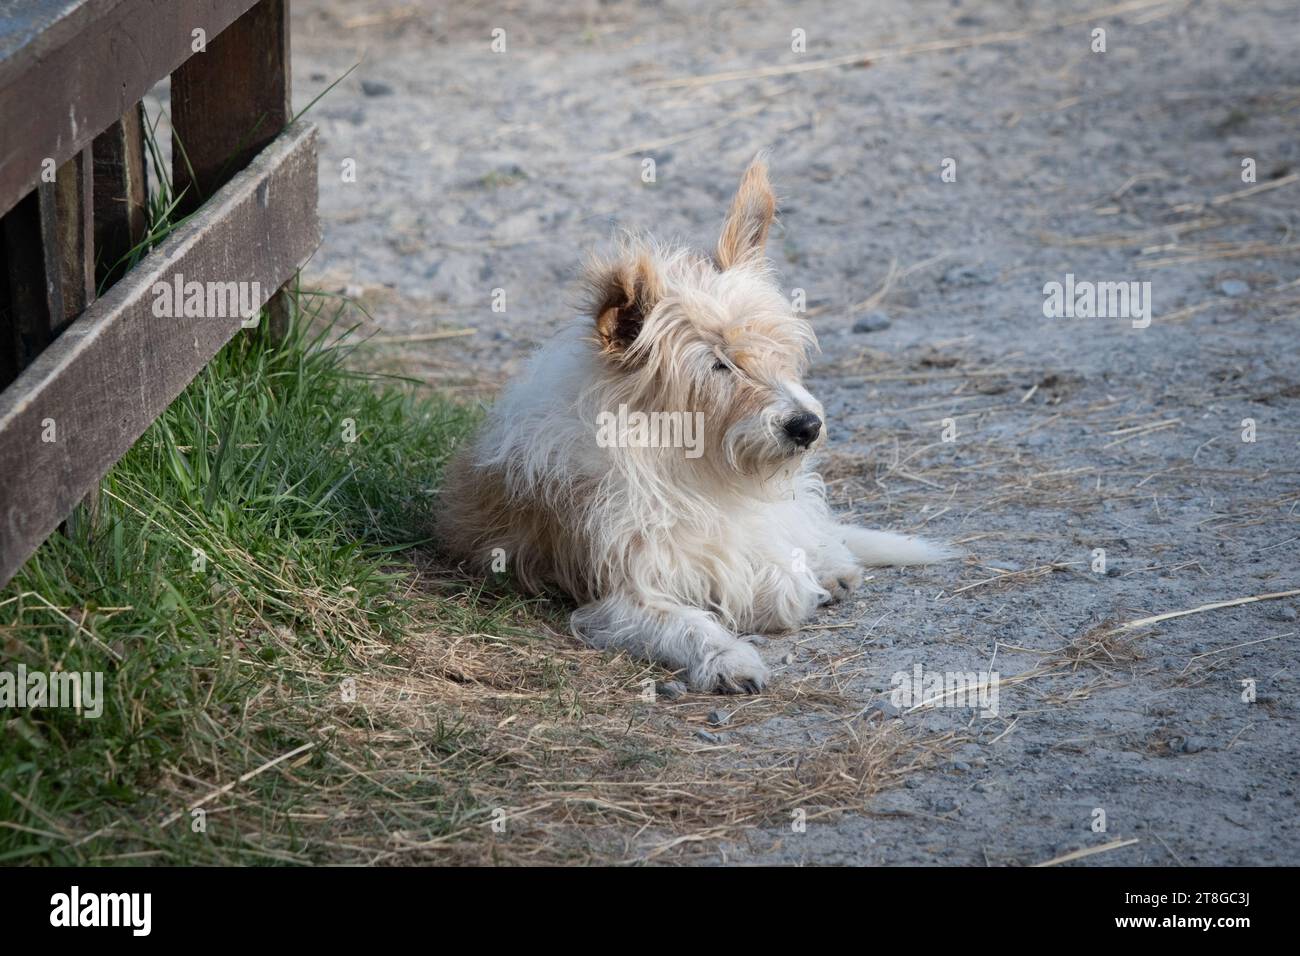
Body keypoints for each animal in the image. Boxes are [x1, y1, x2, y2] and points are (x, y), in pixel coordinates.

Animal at [439, 158, 956, 697]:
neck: (690, 466)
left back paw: (832, 563)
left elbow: (780, 578)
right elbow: (690, 621)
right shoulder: (620, 594)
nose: (807, 426)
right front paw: (728, 657)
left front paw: (799, 577)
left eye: (778, 350)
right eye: (717, 365)